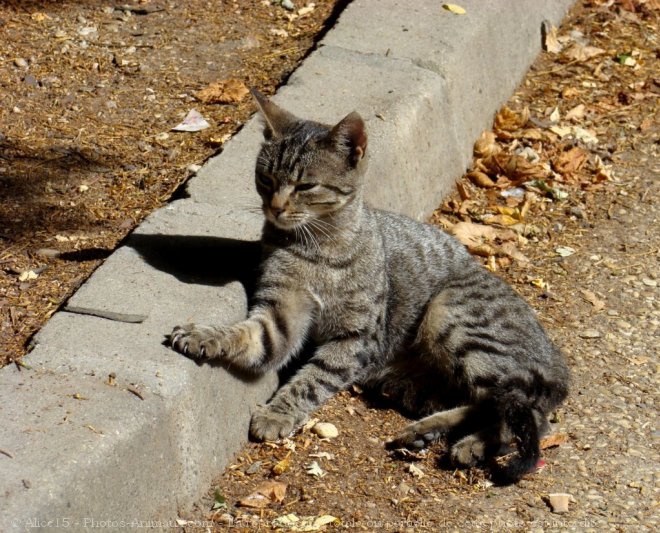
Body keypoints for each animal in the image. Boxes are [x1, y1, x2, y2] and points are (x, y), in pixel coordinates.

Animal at [169, 90, 568, 482]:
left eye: (305, 186)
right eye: (265, 179)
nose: (274, 207)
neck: (315, 246)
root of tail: (558, 362)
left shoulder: (356, 339)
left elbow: (312, 379)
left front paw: (278, 412)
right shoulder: (280, 315)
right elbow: (246, 336)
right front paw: (203, 335)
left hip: (450, 316)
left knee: (531, 416)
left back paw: (472, 444)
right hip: (415, 383)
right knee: (488, 404)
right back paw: (429, 432)